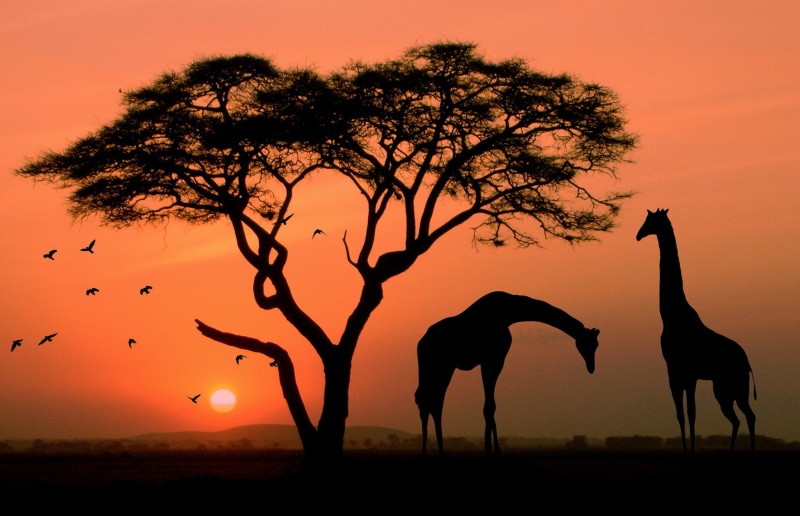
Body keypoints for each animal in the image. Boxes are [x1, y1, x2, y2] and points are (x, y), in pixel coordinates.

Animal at [414, 291, 599, 456]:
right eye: (590, 344)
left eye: (596, 345)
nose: (591, 367)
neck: (509, 313)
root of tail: (421, 344)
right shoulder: (494, 359)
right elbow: (490, 406)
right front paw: (493, 450)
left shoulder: (491, 360)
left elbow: (490, 405)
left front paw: (491, 448)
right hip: (442, 366)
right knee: (432, 401)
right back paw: (436, 451)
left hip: (435, 368)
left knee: (427, 400)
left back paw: (430, 451)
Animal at [636, 208, 756, 453]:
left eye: (651, 221)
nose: (638, 235)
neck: (671, 316)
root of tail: (747, 362)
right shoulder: (674, 372)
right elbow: (681, 416)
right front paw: (685, 450)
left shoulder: (688, 374)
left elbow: (691, 415)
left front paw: (690, 451)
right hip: (724, 388)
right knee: (739, 418)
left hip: (734, 386)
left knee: (749, 416)